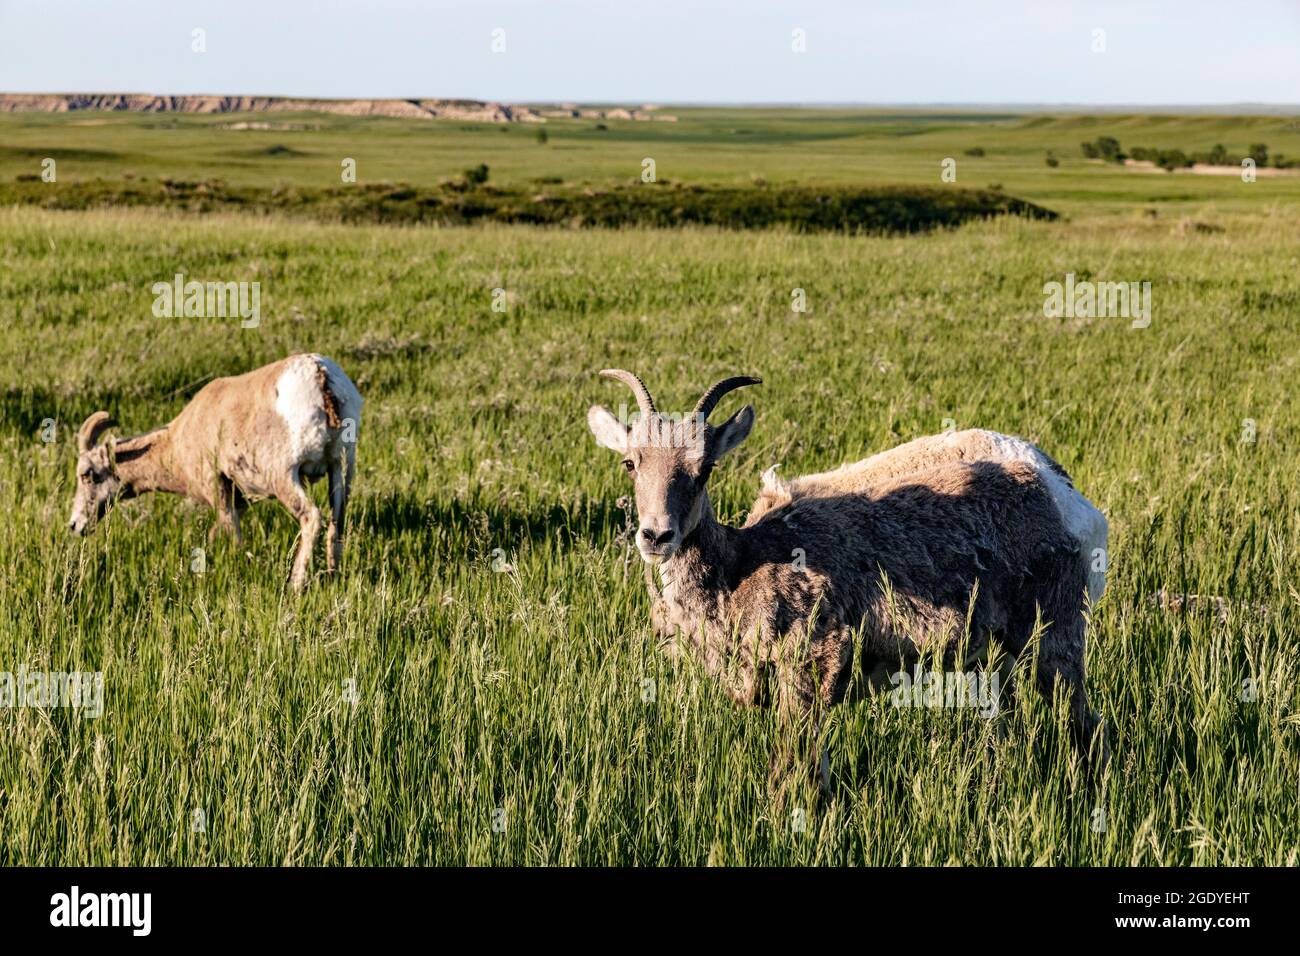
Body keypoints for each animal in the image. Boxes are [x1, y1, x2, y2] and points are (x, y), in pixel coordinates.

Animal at [590, 369, 1107, 764]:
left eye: (705, 468)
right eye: (630, 463)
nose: (656, 536)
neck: (743, 564)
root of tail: (1064, 498)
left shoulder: (813, 666)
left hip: (1054, 639)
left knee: (1084, 721)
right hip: (995, 655)